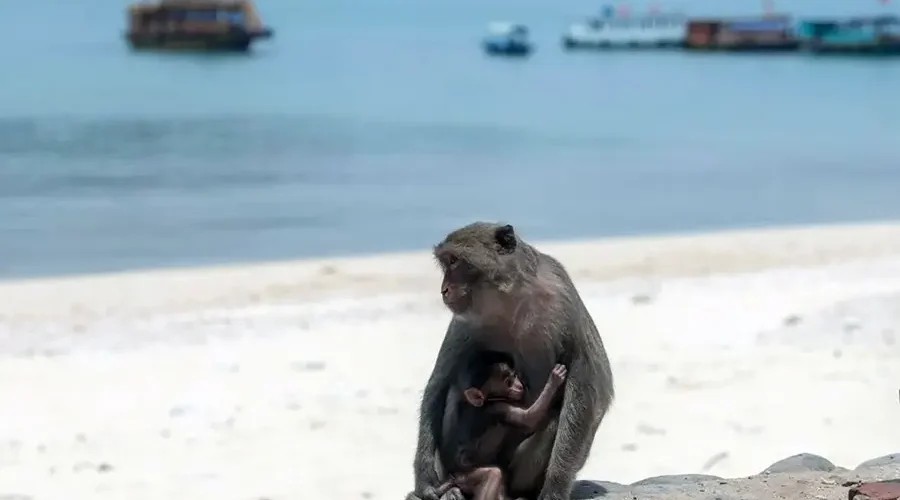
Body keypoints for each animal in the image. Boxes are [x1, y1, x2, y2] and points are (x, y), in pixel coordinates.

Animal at [437, 356, 568, 500]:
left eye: (514, 375)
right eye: (508, 382)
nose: (519, 385)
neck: (488, 400)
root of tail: (452, 477)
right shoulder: (498, 408)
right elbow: (529, 419)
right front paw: (554, 381)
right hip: (464, 475)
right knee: (493, 474)